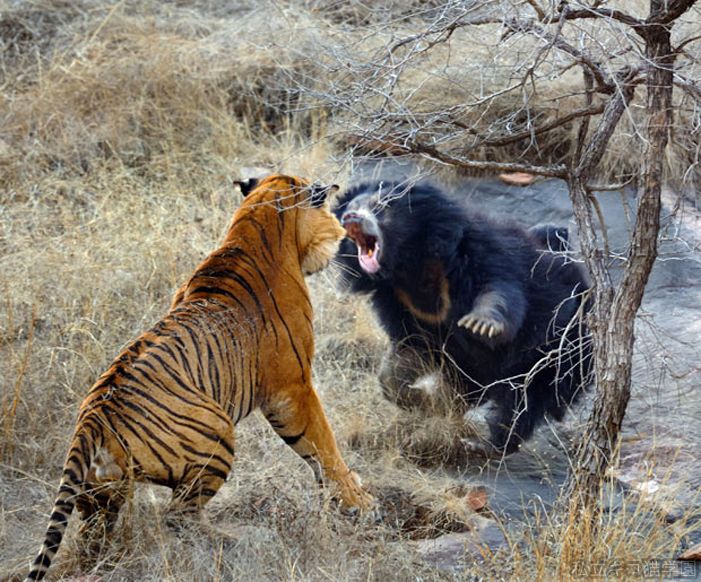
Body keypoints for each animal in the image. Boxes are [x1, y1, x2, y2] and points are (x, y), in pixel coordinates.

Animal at [24, 175, 374, 582]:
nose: (343, 234)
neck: (254, 226)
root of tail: (92, 419)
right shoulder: (293, 387)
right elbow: (323, 444)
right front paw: (358, 501)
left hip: (102, 494)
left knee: (96, 535)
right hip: (217, 432)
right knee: (178, 515)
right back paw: (238, 540)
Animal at [334, 180, 592, 458]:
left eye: (380, 206)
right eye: (350, 208)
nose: (351, 218)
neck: (409, 265)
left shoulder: (480, 253)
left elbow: (499, 290)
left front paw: (481, 324)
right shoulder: (399, 302)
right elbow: (409, 352)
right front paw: (422, 400)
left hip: (558, 351)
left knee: (524, 401)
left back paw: (488, 444)